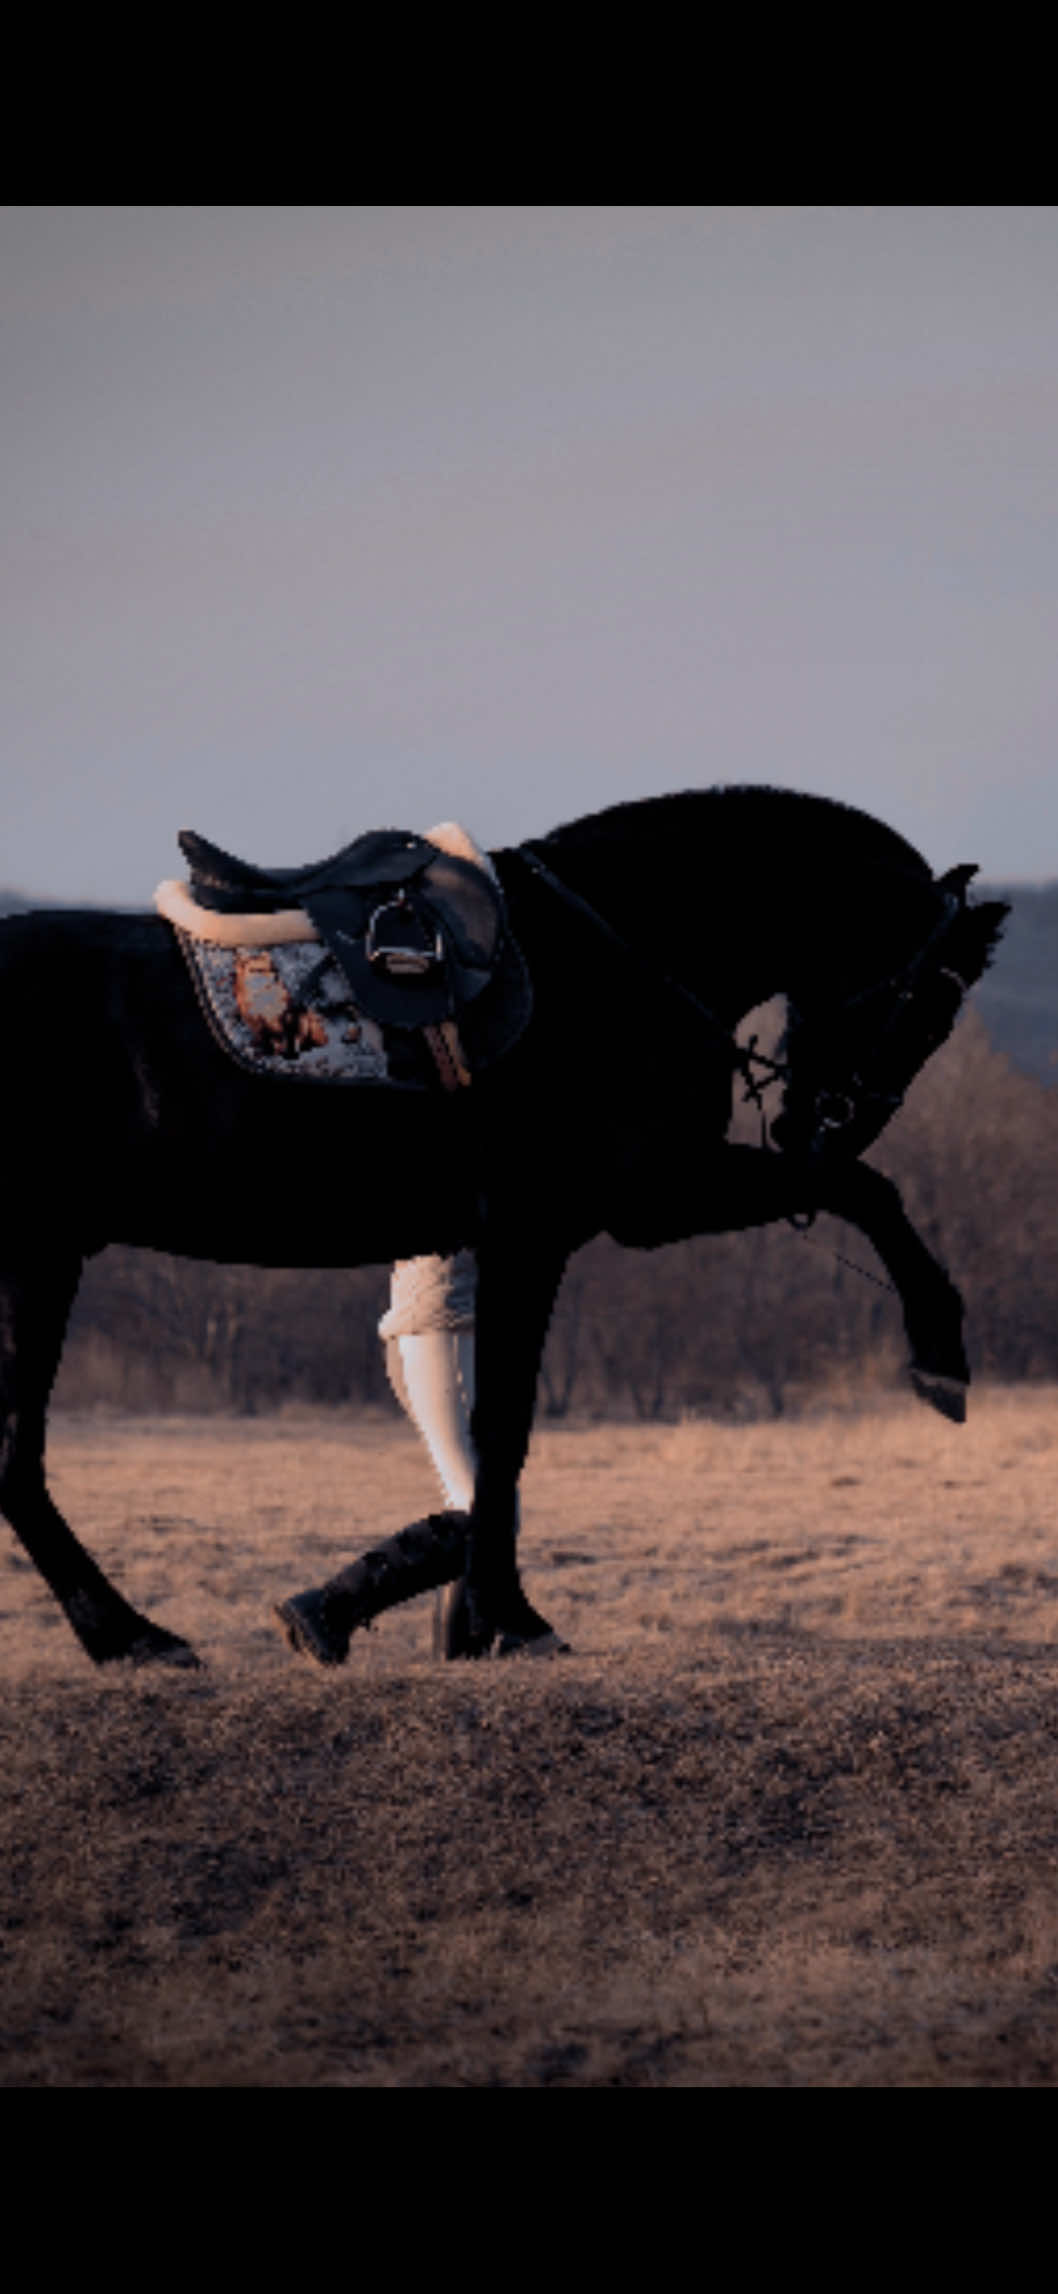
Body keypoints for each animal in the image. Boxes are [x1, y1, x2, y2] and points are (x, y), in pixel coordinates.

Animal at [0, 784, 1007, 1670]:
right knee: (19, 1464)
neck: (622, 957)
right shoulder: (578, 1216)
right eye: (931, 1005)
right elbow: (507, 1426)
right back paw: (131, 1636)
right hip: (37, 1258)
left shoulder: (632, 1204)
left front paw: (490, 1615)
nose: (815, 1124)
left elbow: (859, 1190)